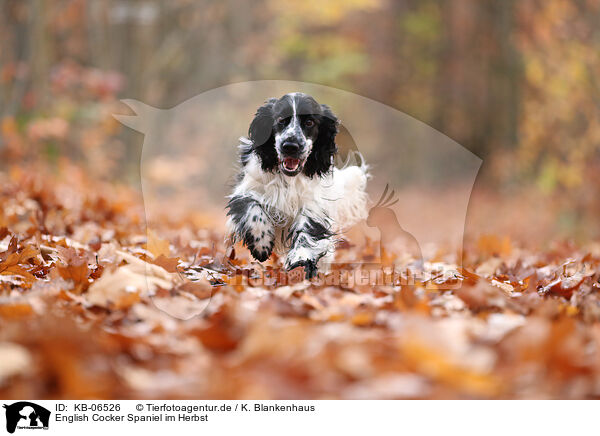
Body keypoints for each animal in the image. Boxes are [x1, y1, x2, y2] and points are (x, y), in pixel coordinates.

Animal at [225, 93, 368, 278]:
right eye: (280, 120)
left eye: (309, 122)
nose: (290, 146)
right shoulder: (246, 190)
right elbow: (252, 209)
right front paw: (261, 244)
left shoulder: (313, 205)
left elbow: (307, 231)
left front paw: (300, 259)